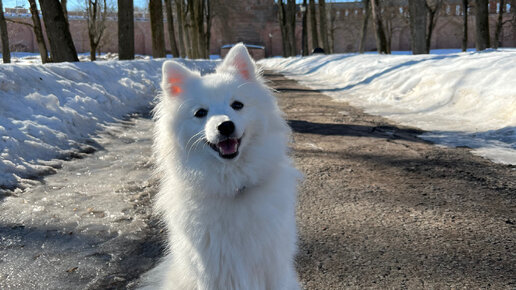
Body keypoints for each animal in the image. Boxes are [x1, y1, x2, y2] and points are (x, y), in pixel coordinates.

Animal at [143, 43, 300, 290]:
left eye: (237, 105)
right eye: (200, 113)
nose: (225, 126)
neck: (232, 186)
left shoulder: (272, 268)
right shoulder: (212, 273)